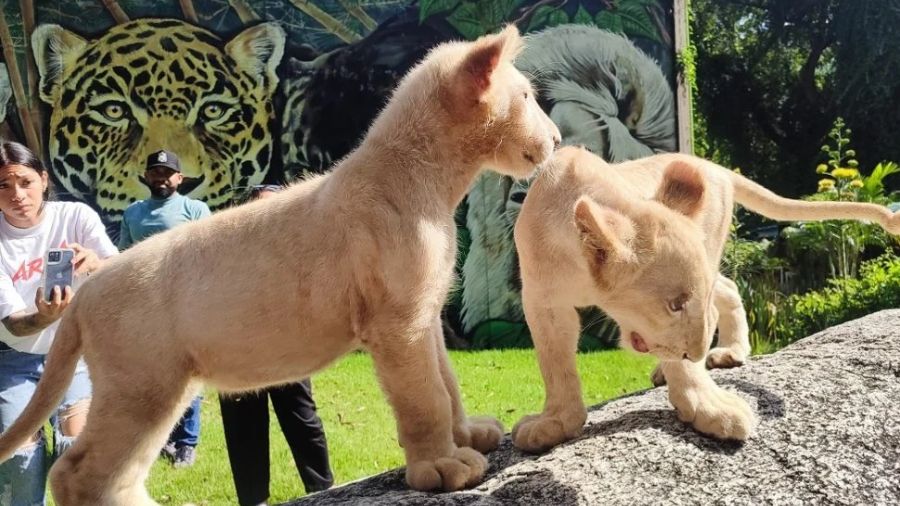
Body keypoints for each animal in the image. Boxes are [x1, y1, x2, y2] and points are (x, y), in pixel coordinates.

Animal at [0, 25, 560, 504]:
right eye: (526, 97)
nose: (556, 139)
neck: (435, 181)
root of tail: (86, 292)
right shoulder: (397, 324)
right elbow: (425, 398)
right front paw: (443, 467)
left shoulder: (423, 316)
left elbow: (447, 384)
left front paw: (469, 435)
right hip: (138, 388)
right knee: (76, 472)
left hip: (159, 391)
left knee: (113, 472)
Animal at [511, 146, 899, 453]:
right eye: (674, 304)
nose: (698, 352)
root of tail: (713, 166)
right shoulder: (543, 300)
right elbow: (555, 363)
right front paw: (555, 423)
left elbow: (681, 359)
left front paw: (710, 407)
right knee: (728, 287)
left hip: (711, 245)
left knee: (725, 290)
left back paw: (729, 352)